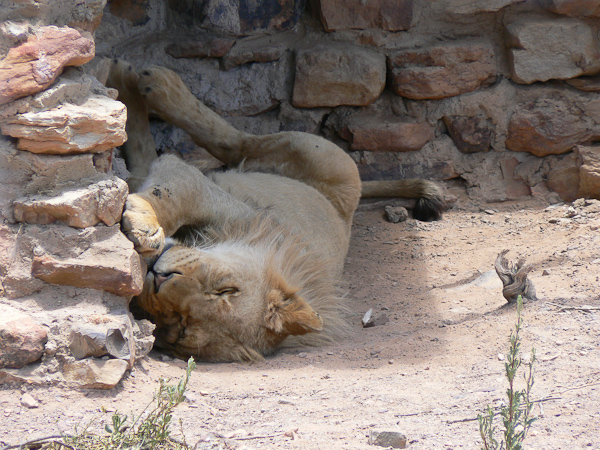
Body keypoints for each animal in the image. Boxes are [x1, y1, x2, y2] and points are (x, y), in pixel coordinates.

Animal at [108, 60, 446, 362]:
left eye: (180, 328)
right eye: (227, 290)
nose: (160, 277)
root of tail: (346, 208)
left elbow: (154, 174)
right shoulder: (203, 189)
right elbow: (169, 198)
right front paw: (144, 226)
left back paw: (130, 81)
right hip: (325, 154)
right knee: (237, 141)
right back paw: (149, 81)